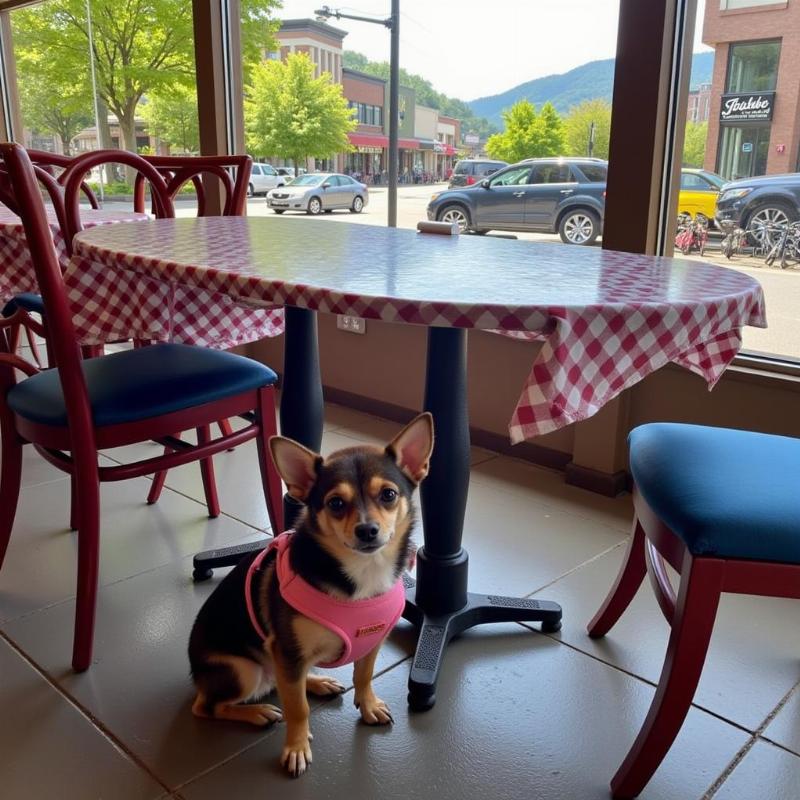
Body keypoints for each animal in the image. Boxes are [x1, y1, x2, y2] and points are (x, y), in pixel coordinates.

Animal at [188, 412, 434, 776]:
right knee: (206, 706)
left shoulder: (369, 642)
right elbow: (297, 709)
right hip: (243, 671)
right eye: (335, 503)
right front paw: (296, 747)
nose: (367, 529)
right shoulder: (287, 649)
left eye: (388, 495)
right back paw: (257, 712)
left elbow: (364, 675)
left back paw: (317, 682)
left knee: (282, 681)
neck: (362, 574)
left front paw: (368, 705)